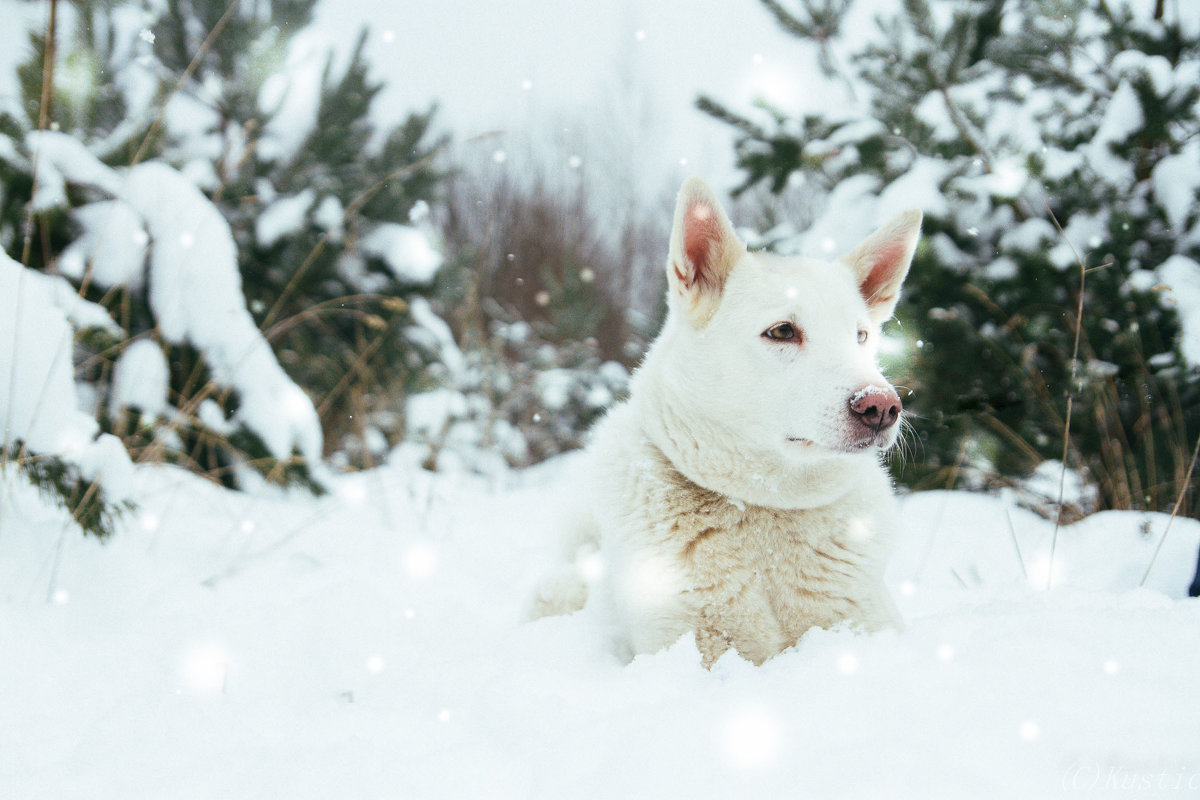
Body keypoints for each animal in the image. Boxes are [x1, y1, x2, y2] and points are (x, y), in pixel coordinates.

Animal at [532, 178, 916, 666]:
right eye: (782, 331)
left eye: (861, 336)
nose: (882, 407)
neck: (765, 507)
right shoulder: (693, 647)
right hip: (560, 588)